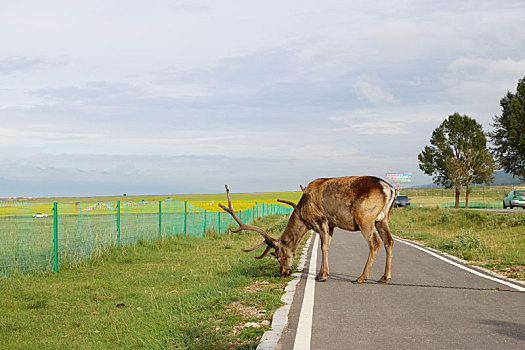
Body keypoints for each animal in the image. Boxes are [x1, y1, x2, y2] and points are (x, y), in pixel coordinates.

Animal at [219, 176, 396, 284]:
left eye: (277, 256)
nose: (283, 273)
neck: (302, 213)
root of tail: (388, 188)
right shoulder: (331, 224)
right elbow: (327, 245)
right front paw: (322, 273)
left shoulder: (320, 219)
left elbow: (323, 247)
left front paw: (322, 276)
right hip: (382, 218)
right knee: (389, 241)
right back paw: (384, 277)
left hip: (365, 217)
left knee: (375, 243)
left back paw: (362, 277)